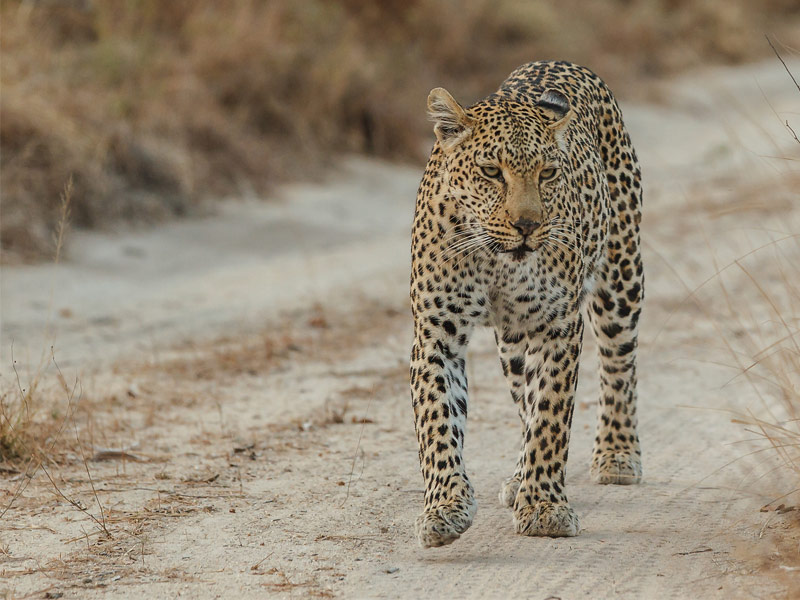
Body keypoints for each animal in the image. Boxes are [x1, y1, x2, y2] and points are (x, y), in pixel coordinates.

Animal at [412, 61, 644, 548]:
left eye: (549, 173)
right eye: (491, 171)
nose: (527, 225)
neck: (492, 257)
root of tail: (556, 61)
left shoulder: (558, 326)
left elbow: (552, 416)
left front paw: (544, 508)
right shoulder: (435, 334)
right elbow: (438, 422)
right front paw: (445, 508)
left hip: (621, 277)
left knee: (618, 363)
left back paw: (617, 453)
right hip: (512, 342)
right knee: (524, 397)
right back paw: (519, 477)